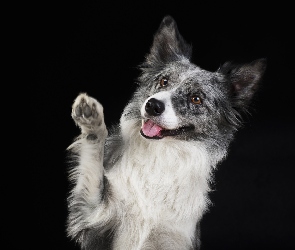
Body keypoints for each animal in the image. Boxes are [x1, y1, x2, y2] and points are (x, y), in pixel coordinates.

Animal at [66, 16, 266, 250]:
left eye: (196, 99)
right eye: (164, 81)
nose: (153, 105)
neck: (161, 155)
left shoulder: (174, 239)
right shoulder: (91, 215)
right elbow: (93, 163)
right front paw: (92, 121)